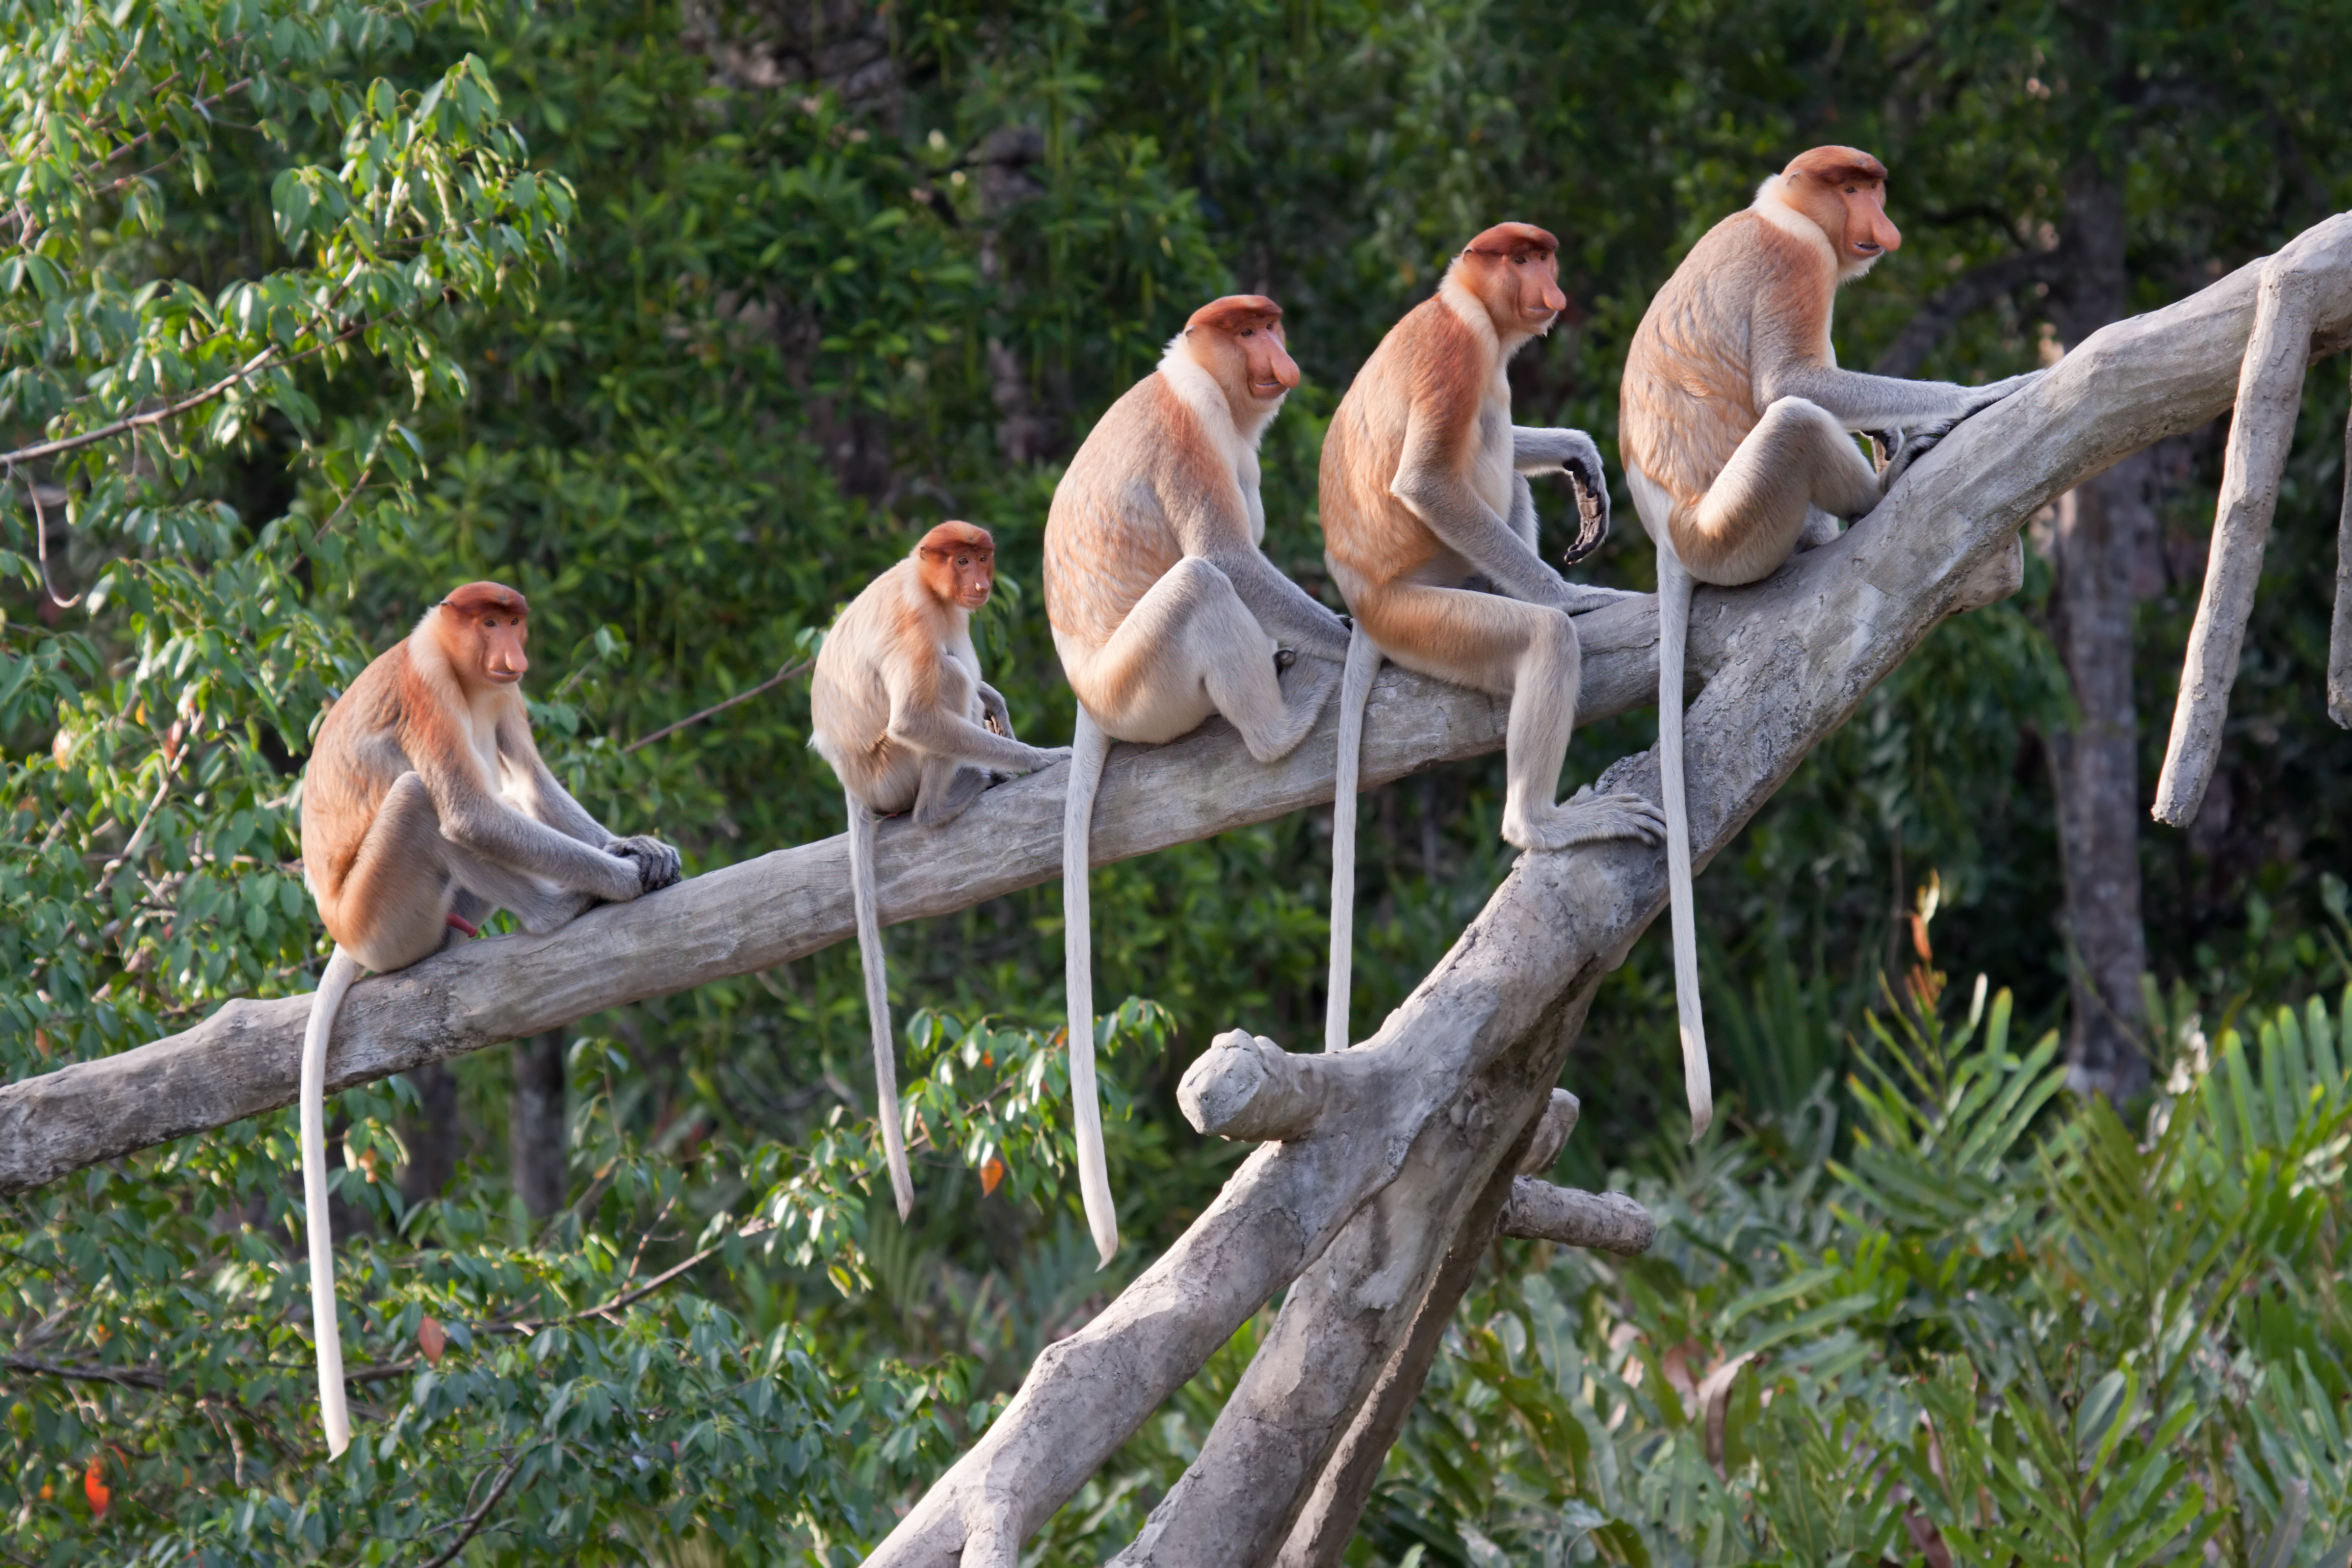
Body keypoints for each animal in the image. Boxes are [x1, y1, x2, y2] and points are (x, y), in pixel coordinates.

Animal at [296, 582, 683, 1456]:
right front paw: (615, 878)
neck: (464, 669)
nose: (510, 648)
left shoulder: (505, 696)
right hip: (385, 914)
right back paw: (556, 909)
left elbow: (531, 781)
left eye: (513, 621)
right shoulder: (428, 690)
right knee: (427, 802)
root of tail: (344, 932)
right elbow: (472, 812)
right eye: (488, 620)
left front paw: (639, 847)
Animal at [809, 521, 1069, 1225]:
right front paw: (1039, 757)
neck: (925, 584)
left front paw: (998, 705)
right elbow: (916, 716)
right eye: (960, 561)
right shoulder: (917, 620)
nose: (978, 581)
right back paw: (948, 799)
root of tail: (852, 783)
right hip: (890, 769)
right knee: (944, 681)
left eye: (982, 558)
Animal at [1045, 293, 1351, 1263]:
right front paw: (1346, 637)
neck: (1198, 384)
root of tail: (1088, 694)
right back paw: (1282, 720)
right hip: (1147, 683)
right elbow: (1231, 556)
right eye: (1246, 330)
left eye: (1270, 324)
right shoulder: (1187, 440)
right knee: (1200, 582)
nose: (1279, 359)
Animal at [1318, 222, 1665, 1057]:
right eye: (1524, 259)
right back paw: (1541, 821)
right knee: (1536, 631)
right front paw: (1573, 596)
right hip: (1426, 613)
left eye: (1545, 256)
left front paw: (1580, 456)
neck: (1462, 304)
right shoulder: (1460, 353)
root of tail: (1364, 605)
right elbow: (1427, 482)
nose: (1553, 288)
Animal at [1618, 146, 2042, 1140]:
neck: (1780, 211)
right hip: (1738, 526)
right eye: (1854, 189)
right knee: (1792, 420)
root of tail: (1670, 535)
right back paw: (1877, 488)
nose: (1883, 226)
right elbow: (1792, 381)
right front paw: (1968, 398)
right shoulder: (1796, 265)